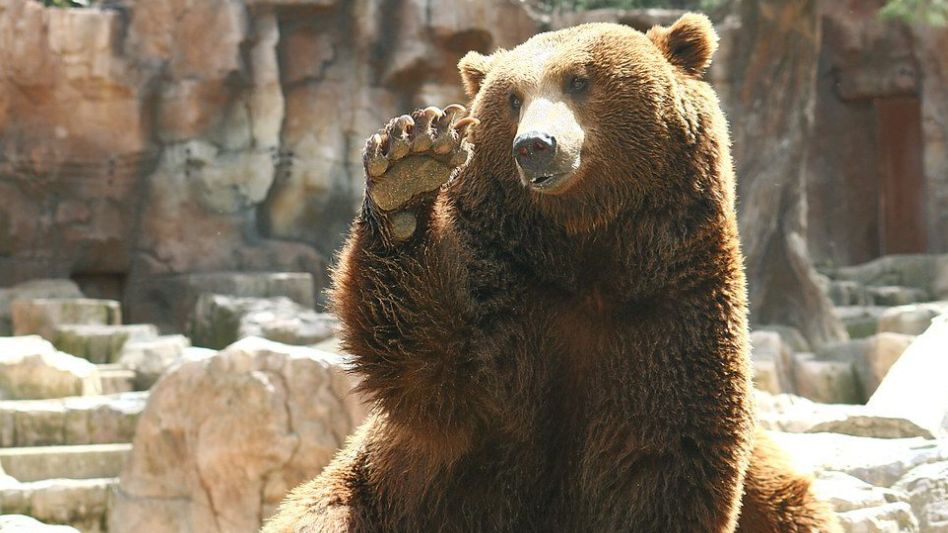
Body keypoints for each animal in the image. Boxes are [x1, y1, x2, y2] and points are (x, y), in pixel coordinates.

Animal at [264, 14, 841, 533]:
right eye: (513, 98)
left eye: (580, 80)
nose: (535, 145)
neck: (587, 256)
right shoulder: (506, 307)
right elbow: (429, 360)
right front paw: (410, 165)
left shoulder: (668, 320)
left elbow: (661, 464)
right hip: (356, 495)